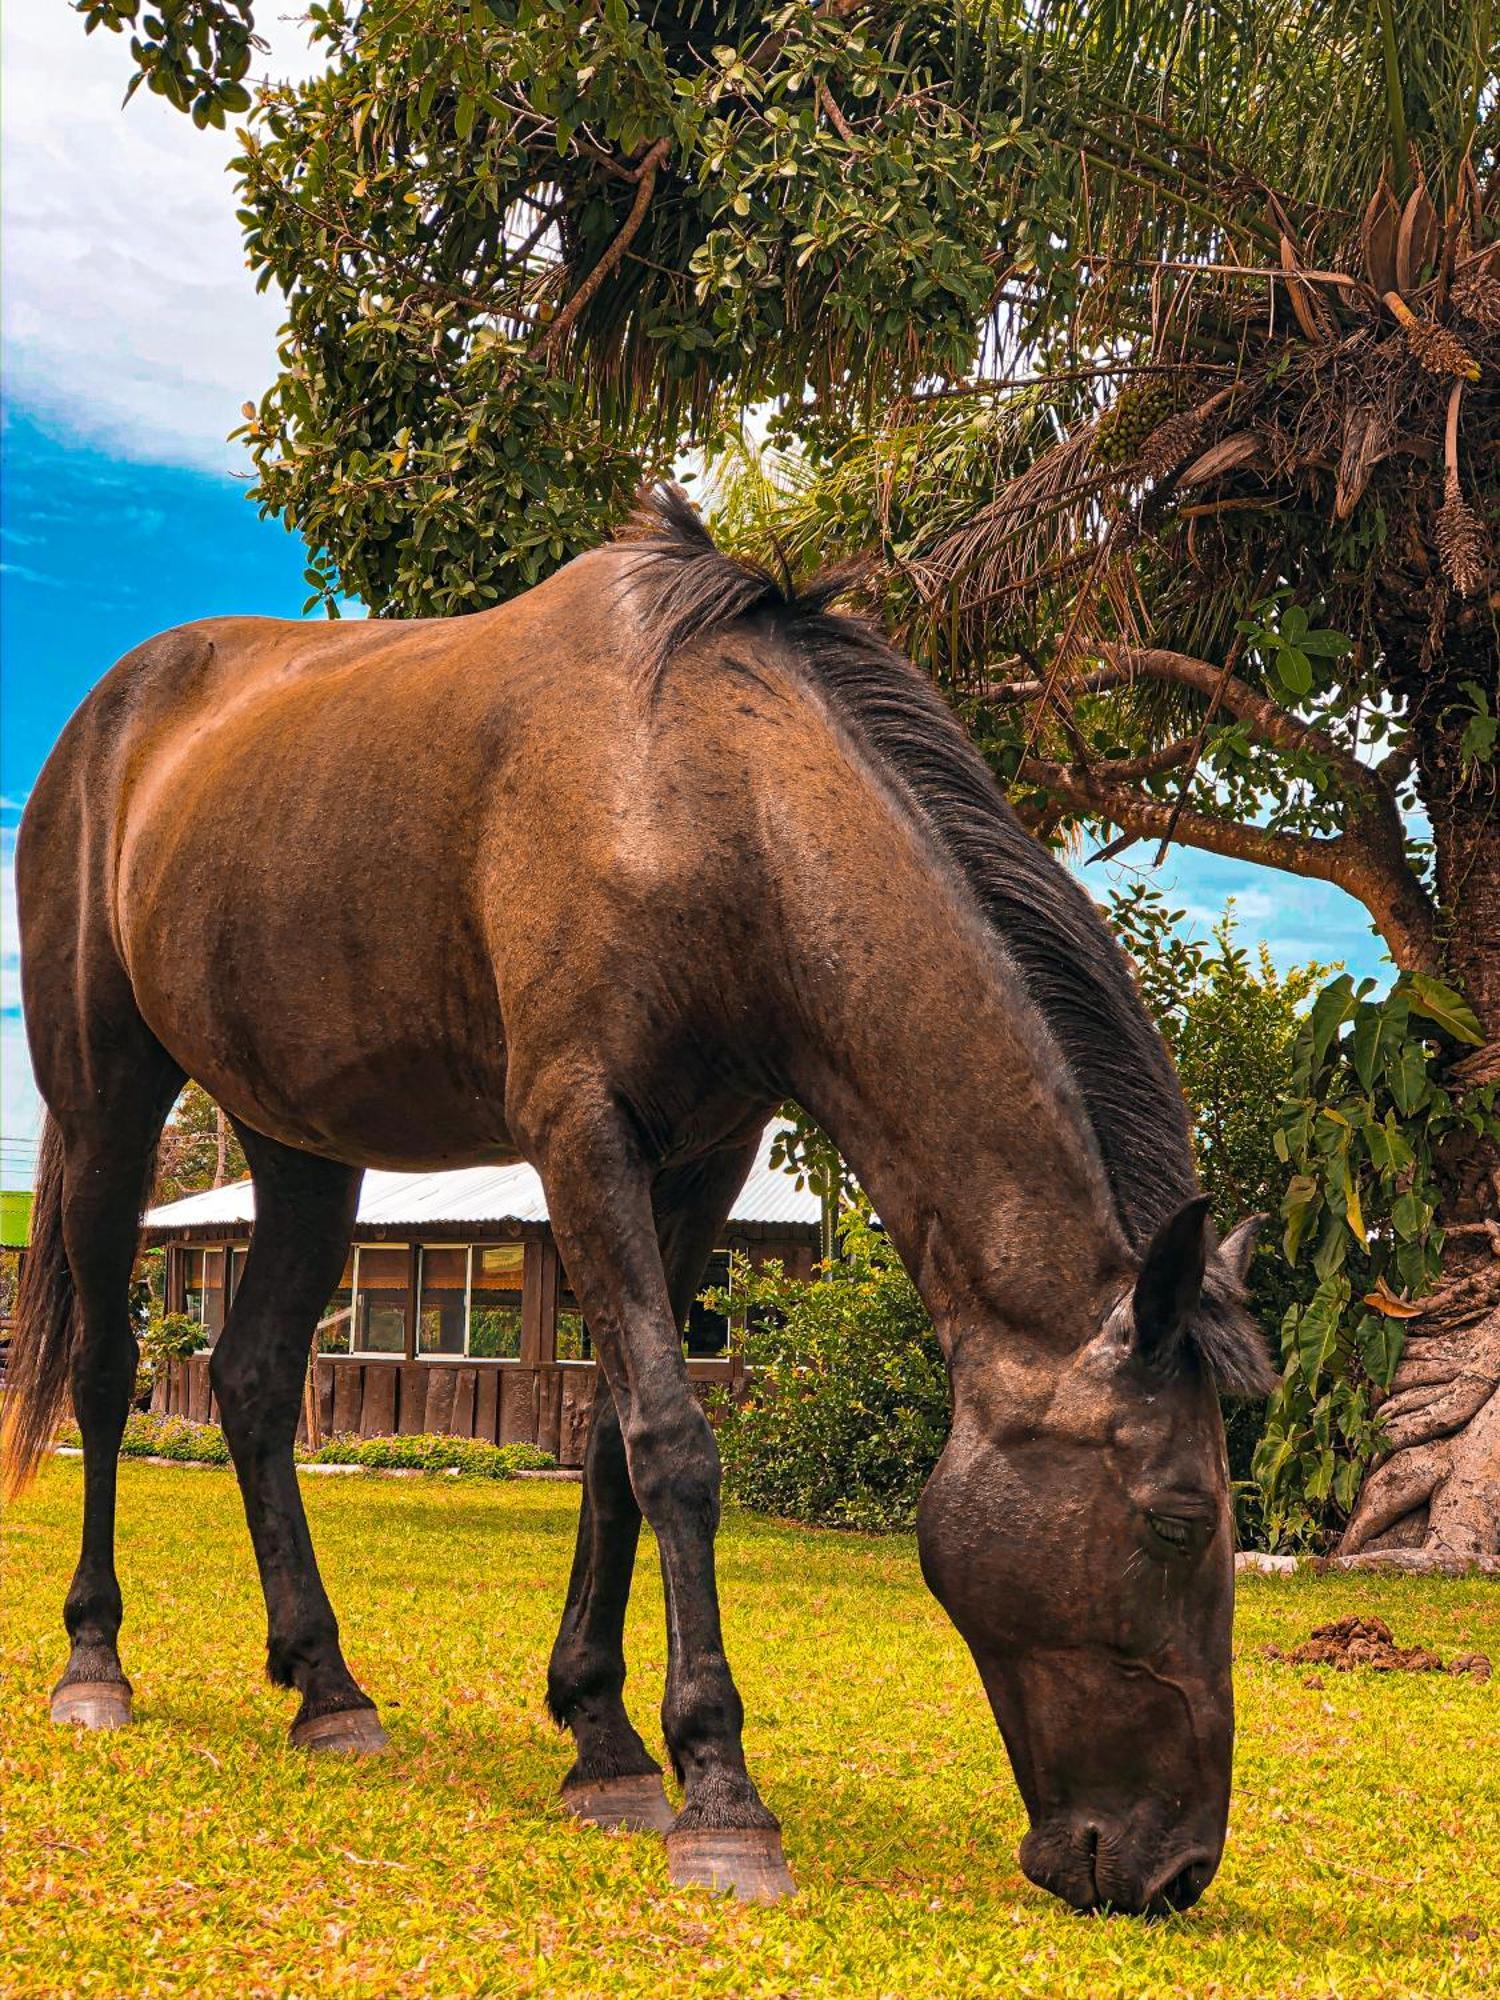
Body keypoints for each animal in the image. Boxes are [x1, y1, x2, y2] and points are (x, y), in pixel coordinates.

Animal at [5, 484, 1272, 1904]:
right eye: (1177, 1521)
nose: (1174, 1867)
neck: (701, 797)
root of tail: (108, 719)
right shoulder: (579, 1131)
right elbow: (671, 1438)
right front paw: (720, 1790)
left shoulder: (703, 1156)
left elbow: (613, 1447)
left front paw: (603, 1741)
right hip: (107, 1100)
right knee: (107, 1370)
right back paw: (95, 1662)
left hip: (301, 1143)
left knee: (256, 1382)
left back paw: (328, 1686)